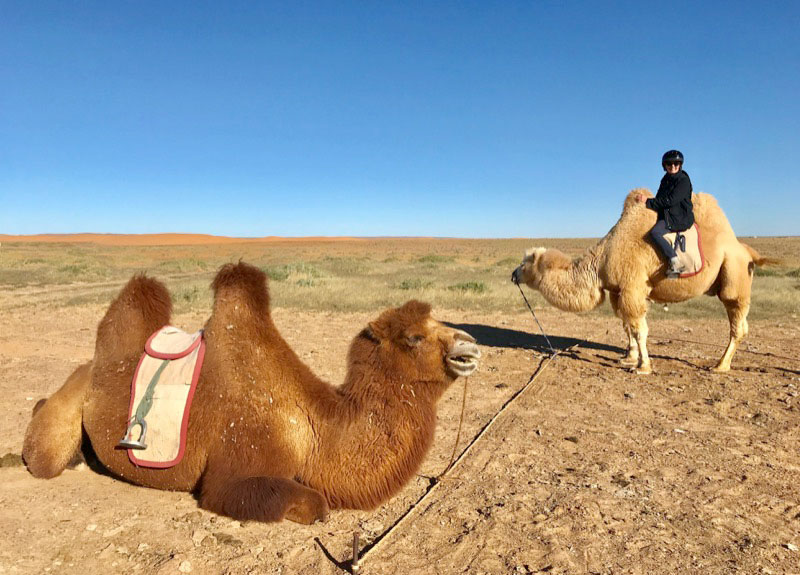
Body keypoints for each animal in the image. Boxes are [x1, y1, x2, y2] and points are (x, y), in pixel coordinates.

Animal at [21, 264, 478, 524]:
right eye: (414, 337)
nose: (470, 348)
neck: (311, 427)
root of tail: (92, 365)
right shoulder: (235, 472)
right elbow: (315, 506)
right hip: (64, 414)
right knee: (43, 454)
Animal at [512, 191, 768, 376]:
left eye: (525, 263)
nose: (513, 275)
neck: (601, 259)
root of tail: (747, 251)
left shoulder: (632, 288)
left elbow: (640, 329)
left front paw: (643, 366)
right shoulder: (618, 291)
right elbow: (627, 326)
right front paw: (629, 357)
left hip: (734, 276)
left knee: (737, 325)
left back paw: (720, 365)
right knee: (742, 325)